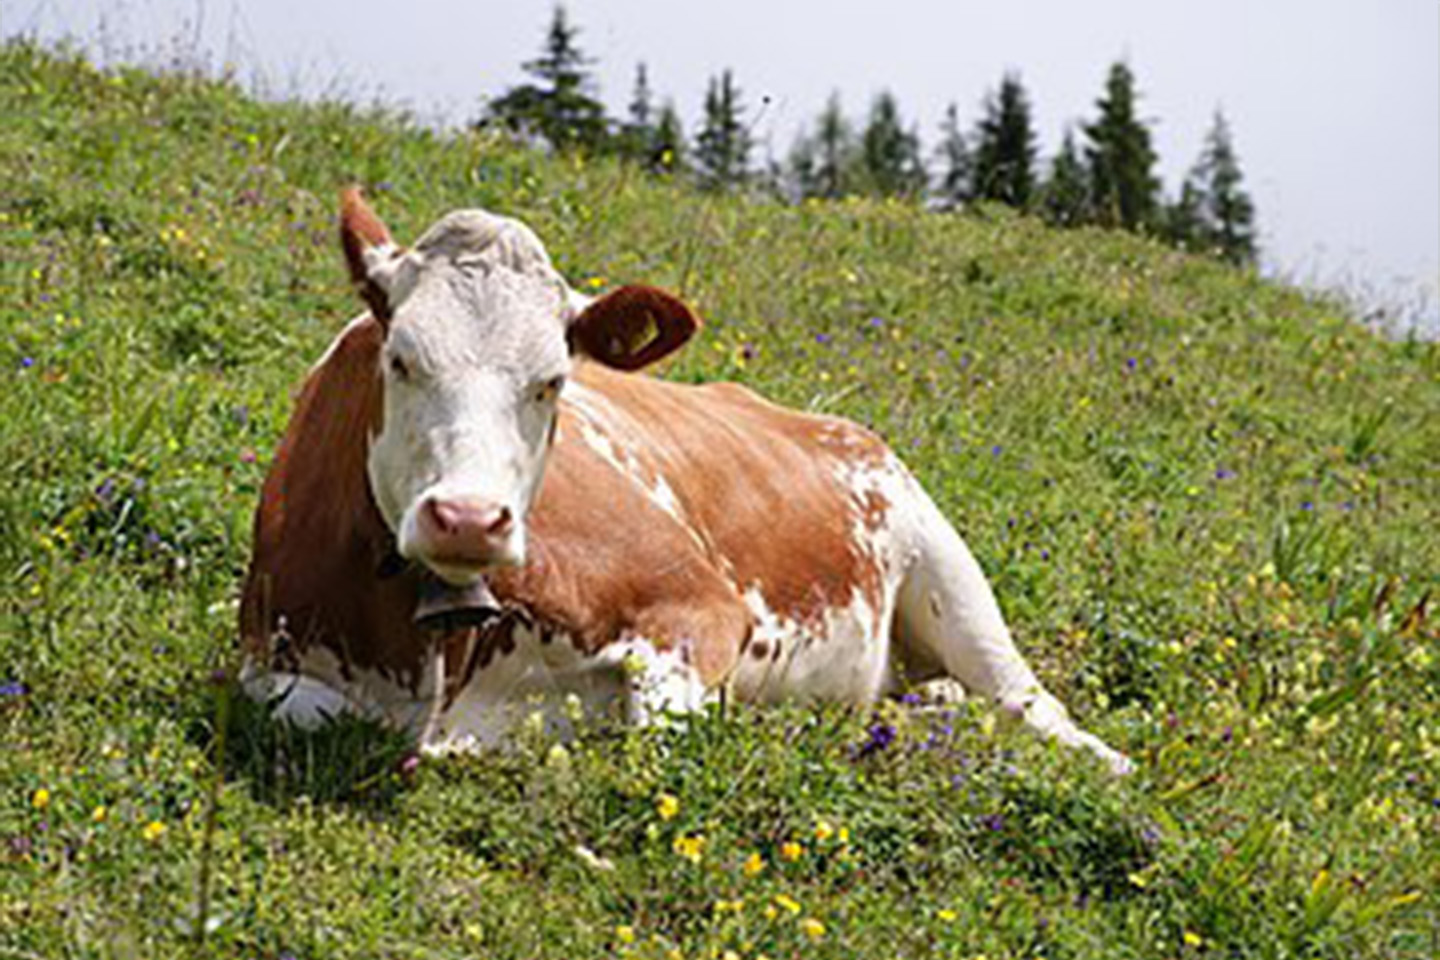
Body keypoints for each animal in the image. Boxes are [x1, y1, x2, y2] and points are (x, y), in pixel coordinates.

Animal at [239, 188, 1132, 776]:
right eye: (401, 359)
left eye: (553, 381)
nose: (467, 517)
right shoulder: (262, 661)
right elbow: (304, 710)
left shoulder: (700, 606)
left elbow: (658, 728)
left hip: (947, 571)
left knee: (1030, 702)